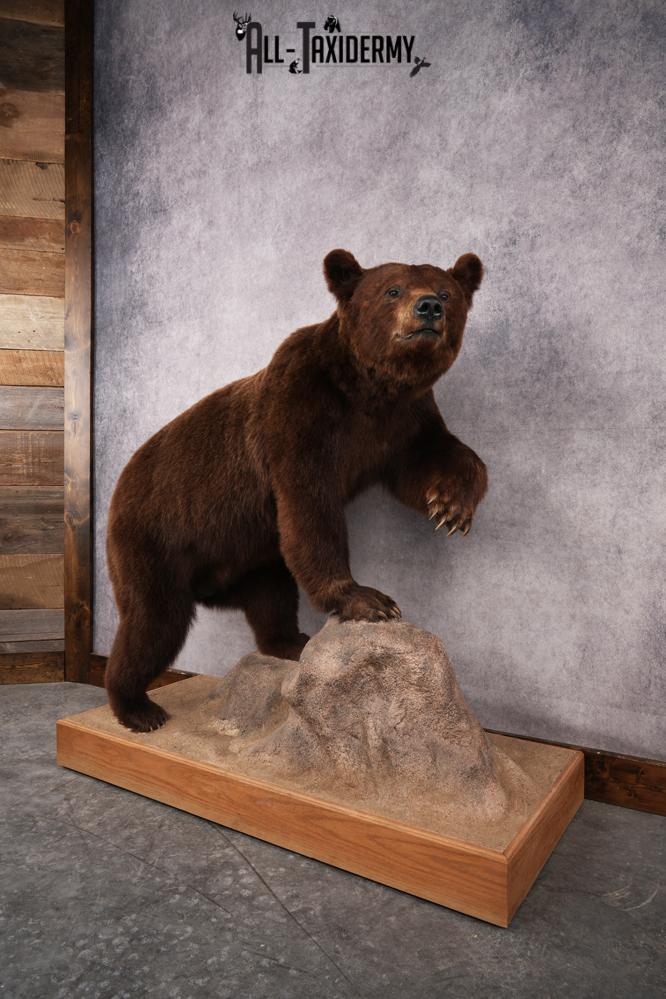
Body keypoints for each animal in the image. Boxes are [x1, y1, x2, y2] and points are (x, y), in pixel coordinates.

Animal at [105, 248, 488, 732]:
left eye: (446, 291)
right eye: (392, 289)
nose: (429, 308)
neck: (368, 388)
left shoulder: (402, 422)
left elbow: (432, 460)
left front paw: (452, 507)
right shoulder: (300, 409)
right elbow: (309, 504)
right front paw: (368, 599)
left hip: (254, 559)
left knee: (272, 599)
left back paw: (291, 641)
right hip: (154, 535)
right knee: (153, 621)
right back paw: (137, 706)